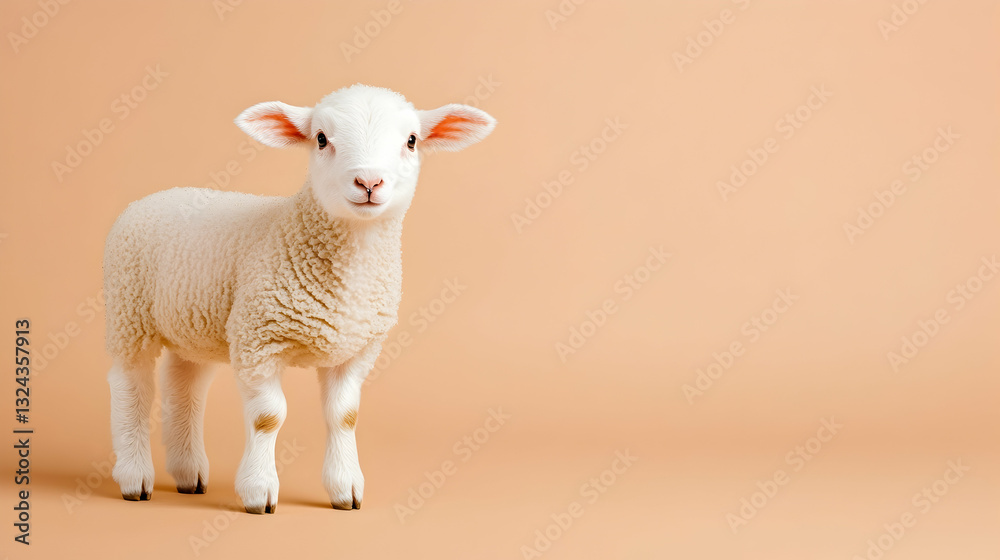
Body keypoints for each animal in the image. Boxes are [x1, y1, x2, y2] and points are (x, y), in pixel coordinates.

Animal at [104, 84, 496, 513]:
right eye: (321, 139)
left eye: (411, 141)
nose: (369, 182)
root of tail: (159, 195)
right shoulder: (258, 338)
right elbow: (267, 417)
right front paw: (259, 491)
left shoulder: (357, 349)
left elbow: (345, 416)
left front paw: (346, 489)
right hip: (128, 311)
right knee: (132, 386)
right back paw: (135, 477)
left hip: (196, 324)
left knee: (184, 383)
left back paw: (189, 474)